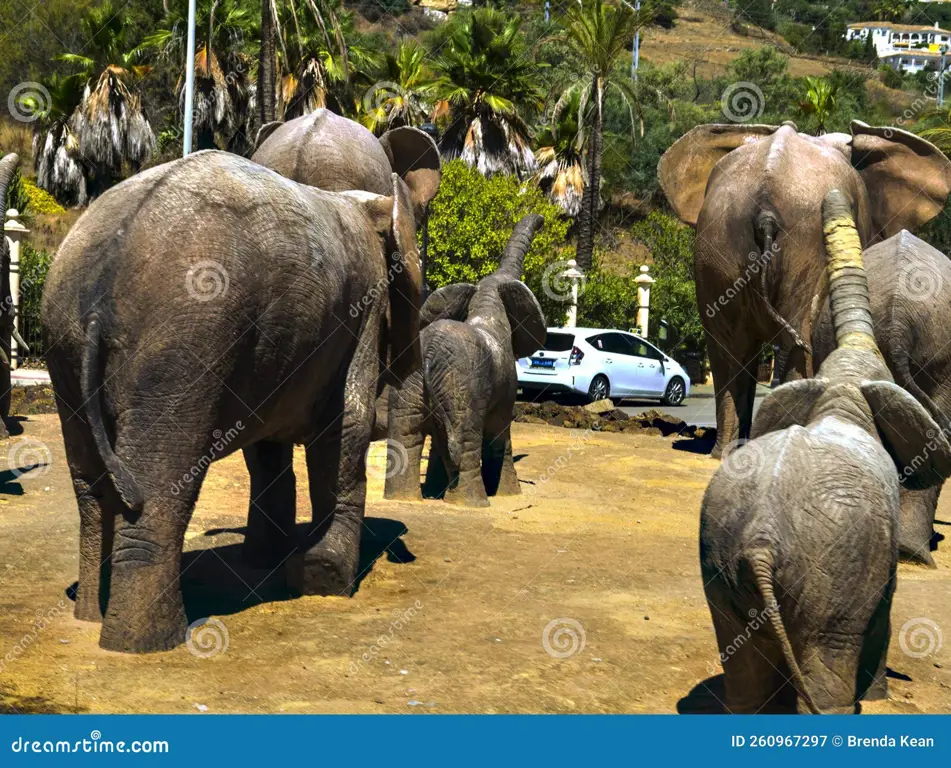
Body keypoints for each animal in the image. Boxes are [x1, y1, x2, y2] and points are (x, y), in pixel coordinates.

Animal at [41, 152, 436, 656]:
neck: (367, 202)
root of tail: (103, 279)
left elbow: (269, 443)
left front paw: (269, 564)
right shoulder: (363, 306)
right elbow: (345, 429)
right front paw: (323, 577)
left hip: (64, 343)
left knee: (91, 488)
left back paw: (93, 615)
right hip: (184, 343)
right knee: (160, 480)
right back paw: (153, 643)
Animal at [384, 213, 548, 508]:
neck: (486, 301)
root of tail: (431, 350)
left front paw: (435, 490)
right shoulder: (507, 386)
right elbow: (499, 433)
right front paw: (511, 494)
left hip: (411, 383)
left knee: (406, 433)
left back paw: (405, 498)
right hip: (463, 384)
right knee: (467, 436)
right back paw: (476, 503)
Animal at [660, 120, 951, 456]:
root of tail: (765, 208)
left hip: (717, 241)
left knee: (728, 348)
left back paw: (726, 452)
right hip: (801, 241)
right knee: (794, 338)